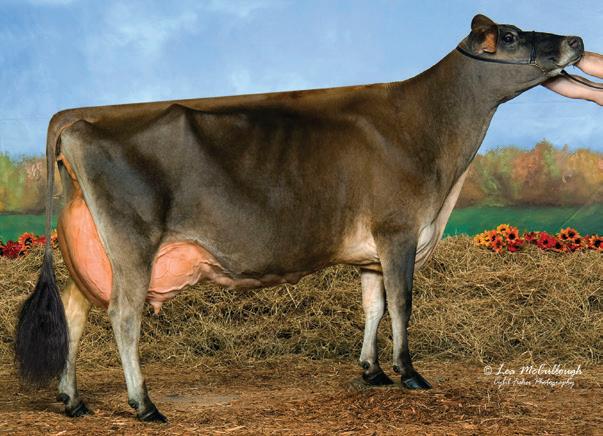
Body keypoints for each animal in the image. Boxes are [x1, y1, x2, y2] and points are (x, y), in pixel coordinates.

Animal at [15, 14, 583, 422]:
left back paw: (73, 400)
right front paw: (409, 373)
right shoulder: (398, 231)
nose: (576, 40)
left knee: (75, 312)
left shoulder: (371, 253)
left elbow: (374, 307)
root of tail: (79, 118)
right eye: (510, 36)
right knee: (123, 317)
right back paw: (144, 404)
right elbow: (402, 304)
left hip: (92, 248)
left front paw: (372, 371)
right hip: (133, 243)